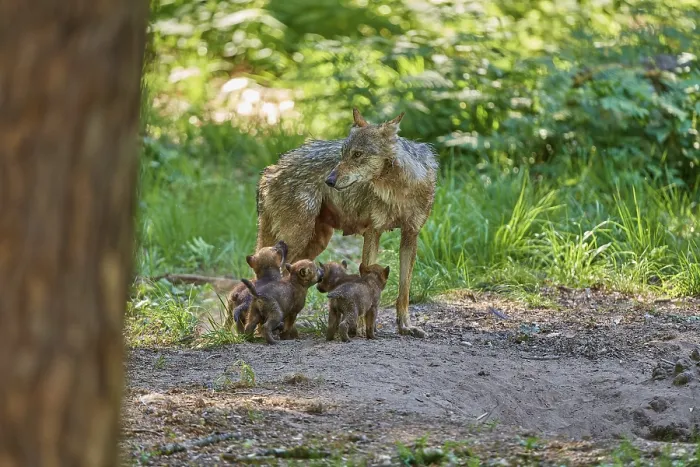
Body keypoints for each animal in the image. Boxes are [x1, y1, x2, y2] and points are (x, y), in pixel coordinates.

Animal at [256, 108, 438, 337]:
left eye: (357, 154)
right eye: (342, 153)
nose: (329, 181)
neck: (397, 191)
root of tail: (271, 170)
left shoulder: (410, 235)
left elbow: (404, 291)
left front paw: (405, 327)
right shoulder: (373, 233)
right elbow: (364, 279)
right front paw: (358, 328)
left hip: (312, 246)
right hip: (295, 241)